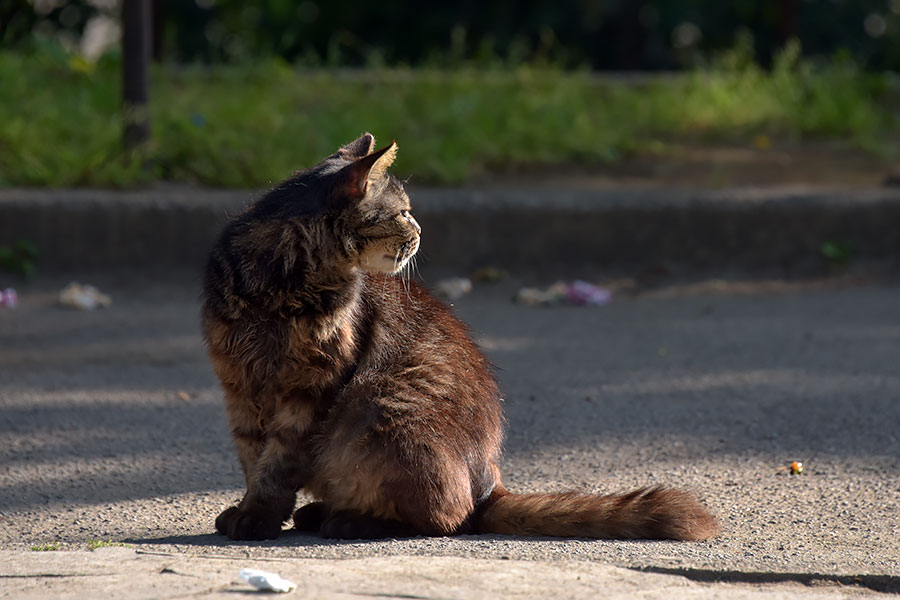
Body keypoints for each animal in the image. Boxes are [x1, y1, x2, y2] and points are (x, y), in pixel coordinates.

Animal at [202, 134, 716, 540]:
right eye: (403, 213)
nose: (420, 230)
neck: (283, 284)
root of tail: (490, 486)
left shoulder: (309, 388)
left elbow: (278, 462)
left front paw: (259, 520)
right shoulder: (238, 386)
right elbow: (254, 458)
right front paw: (248, 511)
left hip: (383, 414)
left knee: (448, 518)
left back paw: (348, 521)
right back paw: (320, 512)